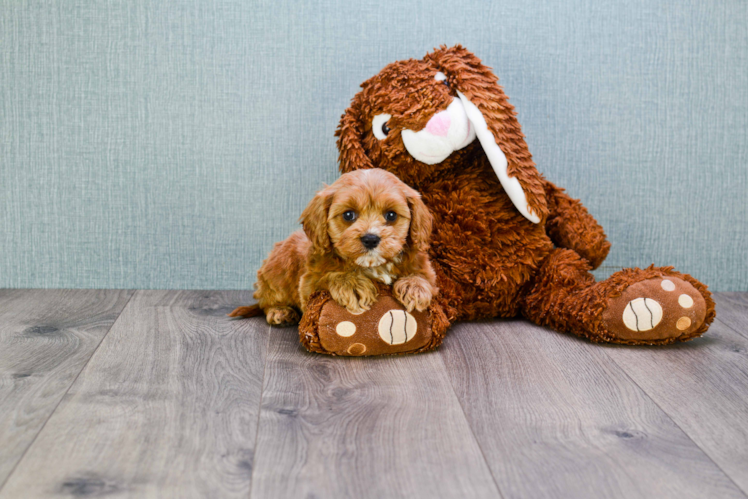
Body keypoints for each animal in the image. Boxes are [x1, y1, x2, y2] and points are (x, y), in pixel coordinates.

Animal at [228, 167, 438, 324]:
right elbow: (327, 277)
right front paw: (351, 284)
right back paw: (280, 311)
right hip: (276, 273)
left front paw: (414, 287)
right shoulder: (308, 283)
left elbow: (423, 277)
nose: (370, 239)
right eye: (348, 215)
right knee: (266, 301)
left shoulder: (427, 270)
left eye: (391, 215)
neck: (372, 266)